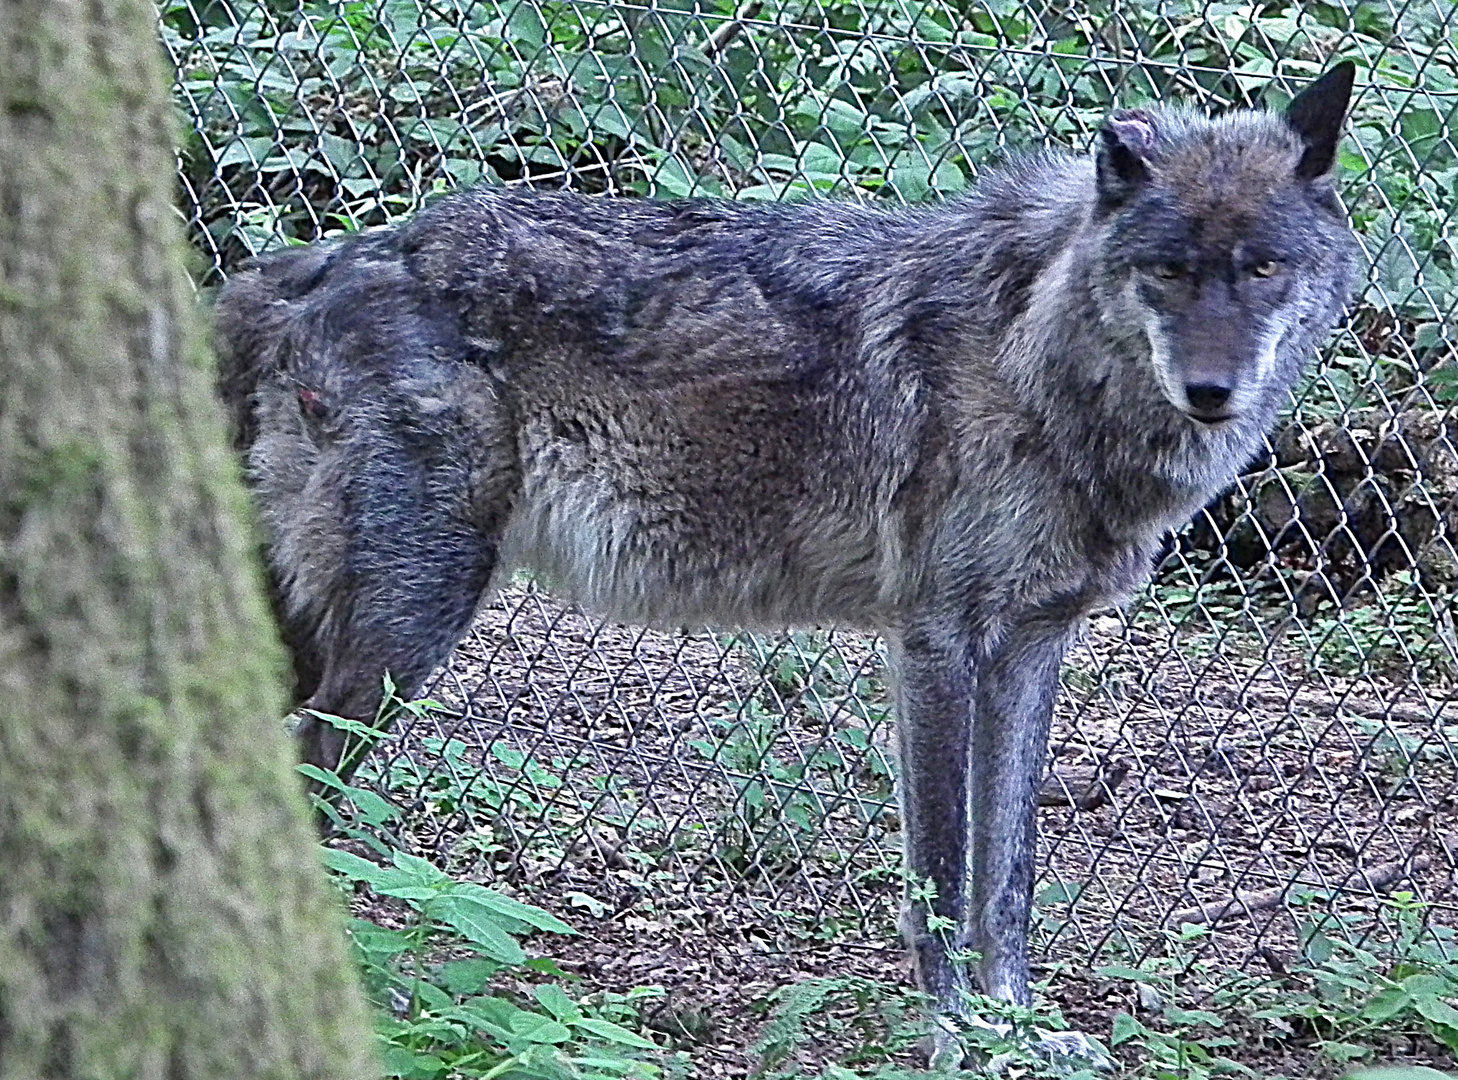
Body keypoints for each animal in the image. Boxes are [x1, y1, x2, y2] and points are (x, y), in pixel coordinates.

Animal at [212, 65, 1353, 1037]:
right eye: (1167, 270)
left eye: (1262, 268)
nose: (1212, 392)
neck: (1033, 353)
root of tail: (309, 264)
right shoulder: (935, 641)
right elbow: (942, 872)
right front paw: (953, 1034)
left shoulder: (1031, 645)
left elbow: (1009, 874)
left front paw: (1019, 1026)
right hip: (408, 629)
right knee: (304, 783)